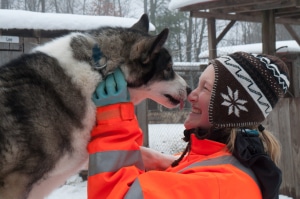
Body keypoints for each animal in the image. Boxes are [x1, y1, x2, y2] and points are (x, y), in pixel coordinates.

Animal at [0, 14, 189, 199]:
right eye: (169, 68)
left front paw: (176, 162)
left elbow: (146, 152)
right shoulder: (14, 185)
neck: (99, 75)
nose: (189, 89)